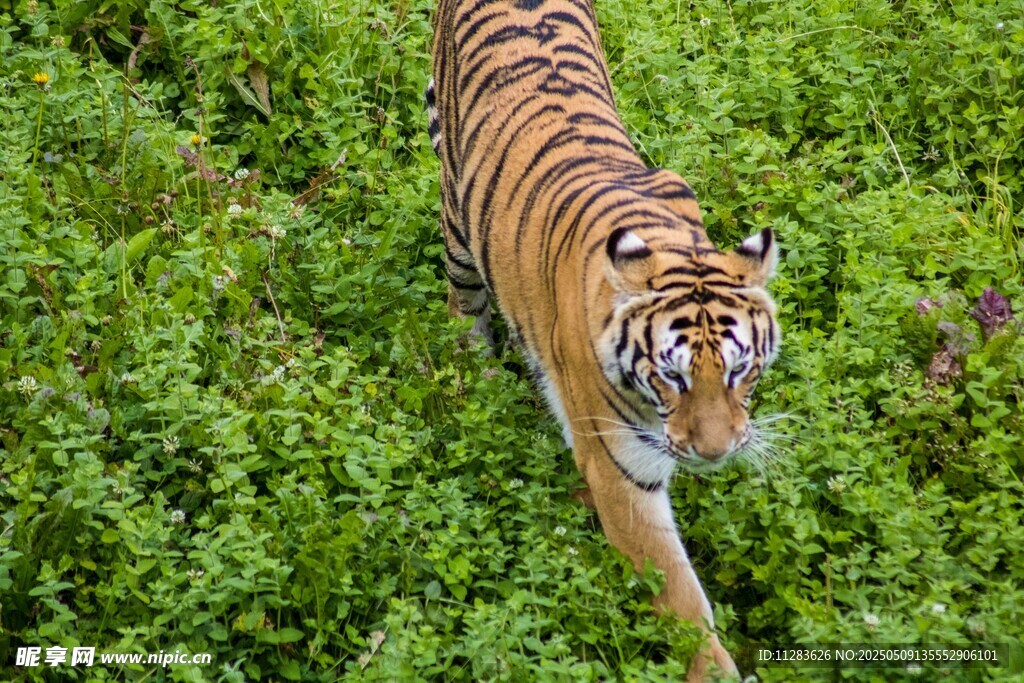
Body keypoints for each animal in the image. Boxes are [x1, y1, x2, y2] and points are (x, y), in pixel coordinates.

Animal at [428, 0, 780, 679]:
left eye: (739, 370)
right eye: (671, 376)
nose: (717, 453)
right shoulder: (621, 470)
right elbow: (679, 596)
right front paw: (713, 667)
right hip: (459, 222)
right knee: (463, 302)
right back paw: (478, 371)